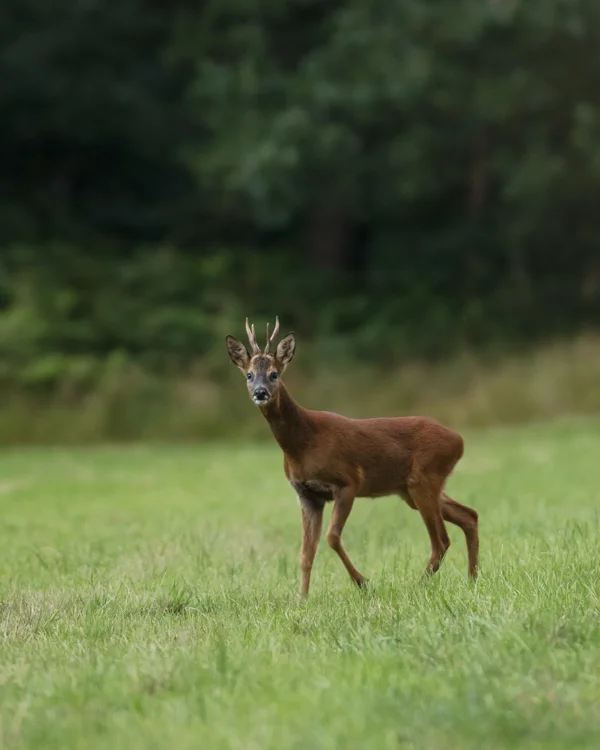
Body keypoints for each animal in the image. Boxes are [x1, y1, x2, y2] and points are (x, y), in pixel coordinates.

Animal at [225, 317, 479, 596]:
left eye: (274, 374)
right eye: (249, 374)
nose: (260, 392)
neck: (303, 445)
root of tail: (459, 440)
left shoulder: (348, 481)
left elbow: (332, 537)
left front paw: (363, 582)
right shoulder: (307, 495)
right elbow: (305, 554)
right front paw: (301, 599)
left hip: (424, 479)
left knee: (441, 540)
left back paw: (418, 586)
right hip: (411, 489)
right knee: (469, 516)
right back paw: (472, 579)